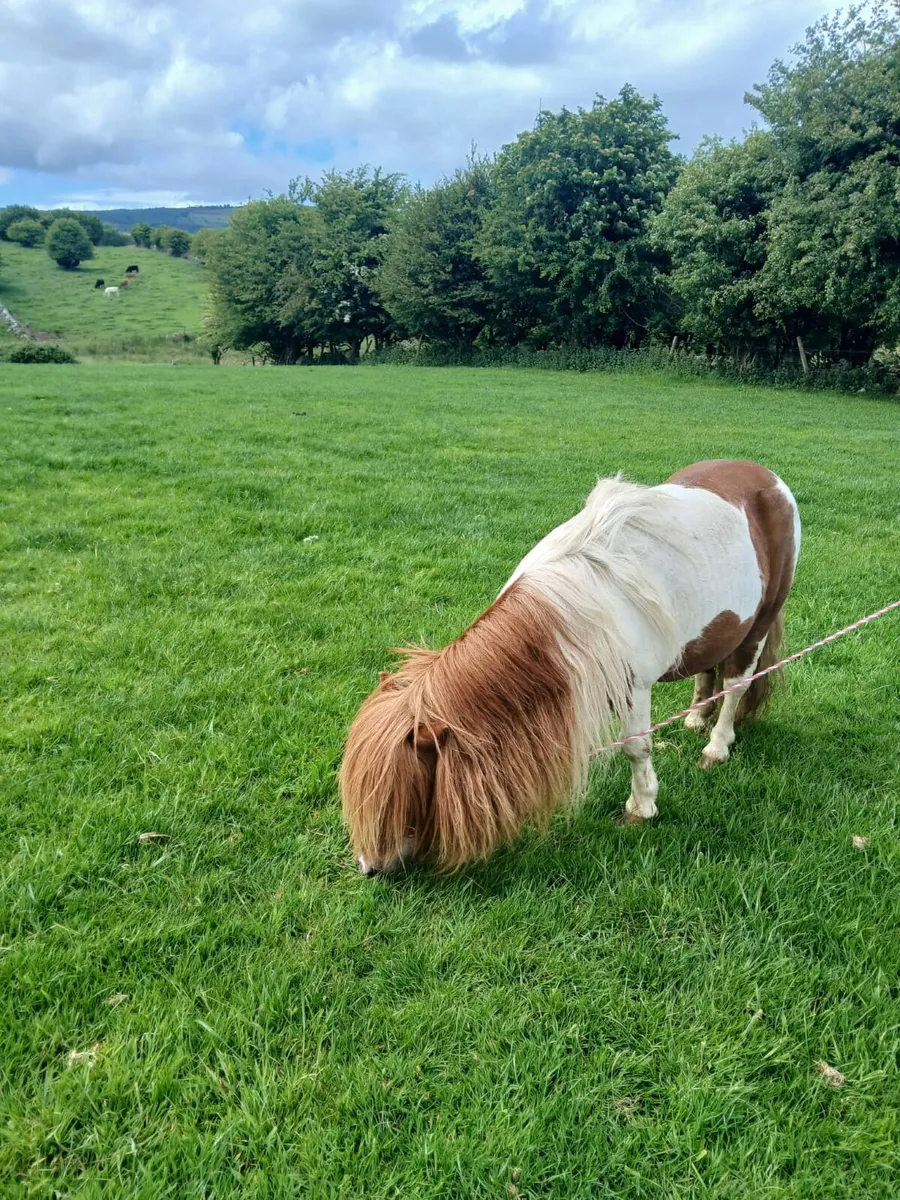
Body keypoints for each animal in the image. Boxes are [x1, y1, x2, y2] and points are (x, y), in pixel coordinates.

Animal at [340, 459, 800, 876]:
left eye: (405, 790)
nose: (369, 867)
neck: (568, 618)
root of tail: (766, 478)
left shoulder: (634, 690)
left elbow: (636, 748)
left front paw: (641, 808)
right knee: (708, 671)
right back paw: (695, 719)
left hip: (760, 620)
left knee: (736, 685)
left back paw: (716, 747)